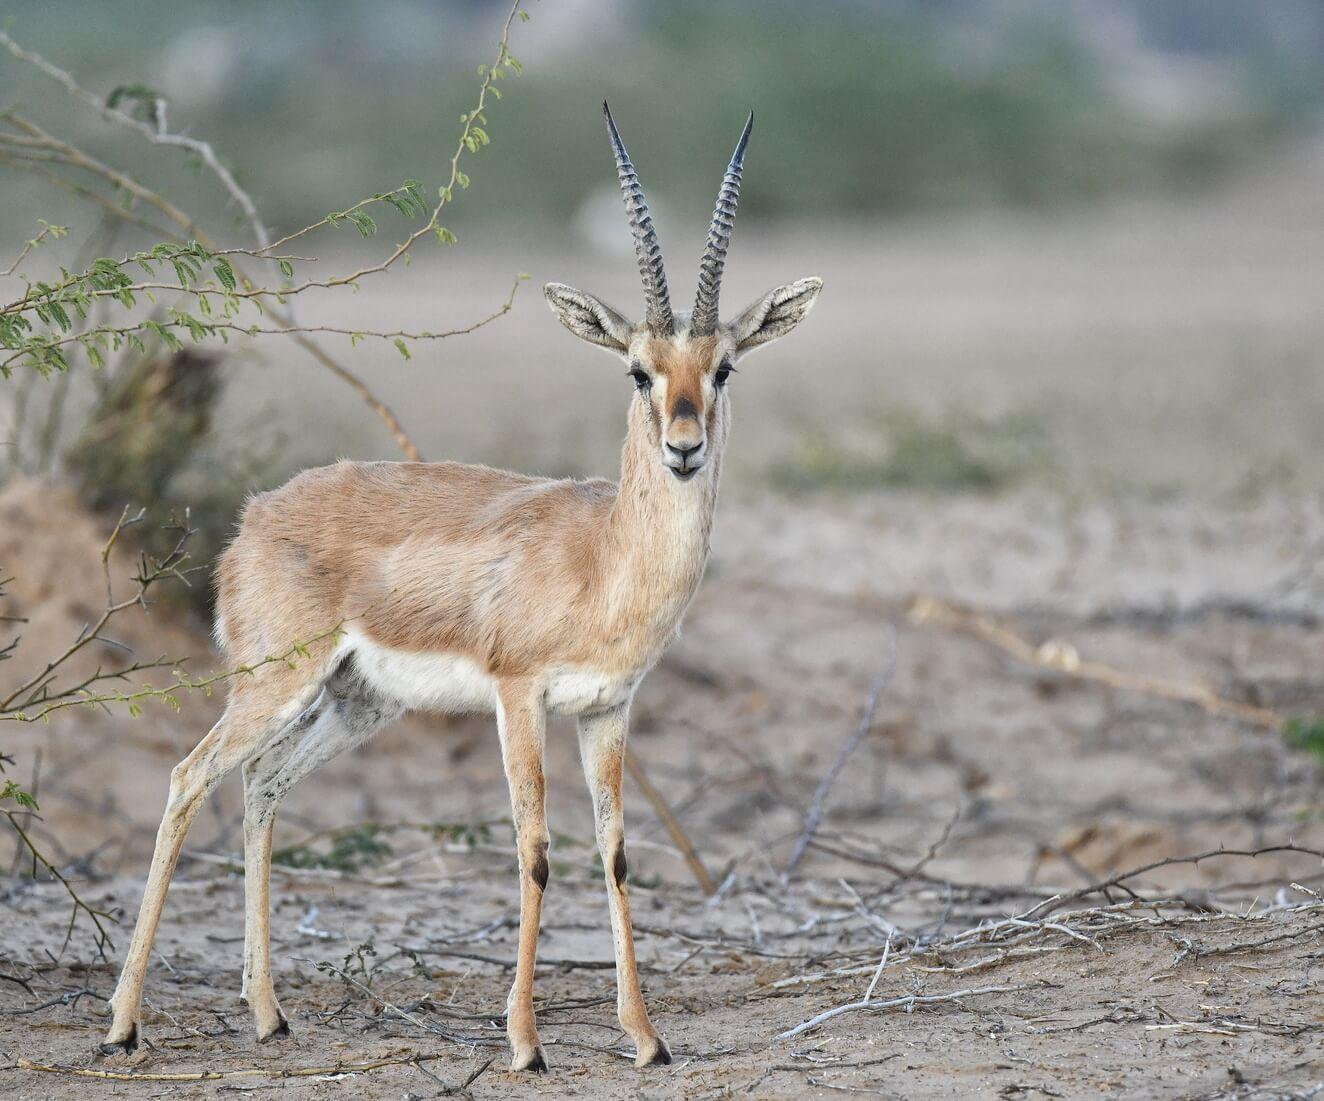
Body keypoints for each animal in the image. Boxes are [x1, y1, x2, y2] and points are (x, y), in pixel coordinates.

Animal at [99, 103, 822, 1072]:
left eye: (725, 368)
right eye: (637, 368)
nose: (683, 447)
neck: (602, 554)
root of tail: (255, 515)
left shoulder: (607, 708)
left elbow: (616, 853)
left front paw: (645, 1038)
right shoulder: (519, 696)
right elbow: (534, 849)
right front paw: (525, 1044)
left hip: (355, 702)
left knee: (259, 785)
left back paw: (269, 1013)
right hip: (273, 682)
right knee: (188, 778)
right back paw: (123, 1024)